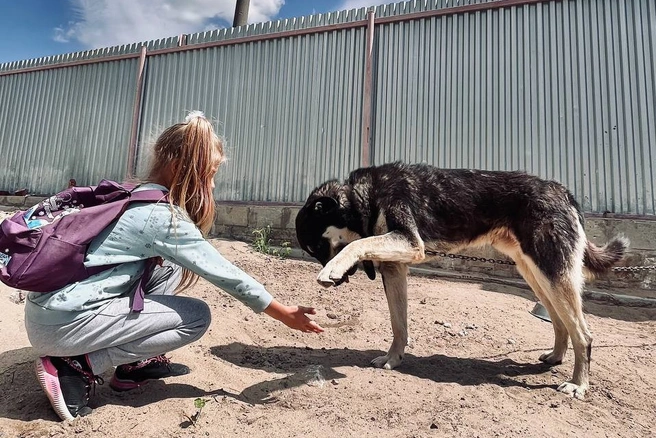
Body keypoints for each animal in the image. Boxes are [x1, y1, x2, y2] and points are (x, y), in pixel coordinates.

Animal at [294, 162, 628, 400]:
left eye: (318, 246)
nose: (340, 283)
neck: (364, 198)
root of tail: (563, 191)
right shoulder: (395, 268)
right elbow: (398, 324)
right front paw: (394, 357)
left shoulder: (409, 243)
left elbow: (357, 244)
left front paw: (332, 268)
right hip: (535, 273)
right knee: (561, 322)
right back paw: (556, 357)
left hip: (552, 272)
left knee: (583, 334)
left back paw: (578, 384)